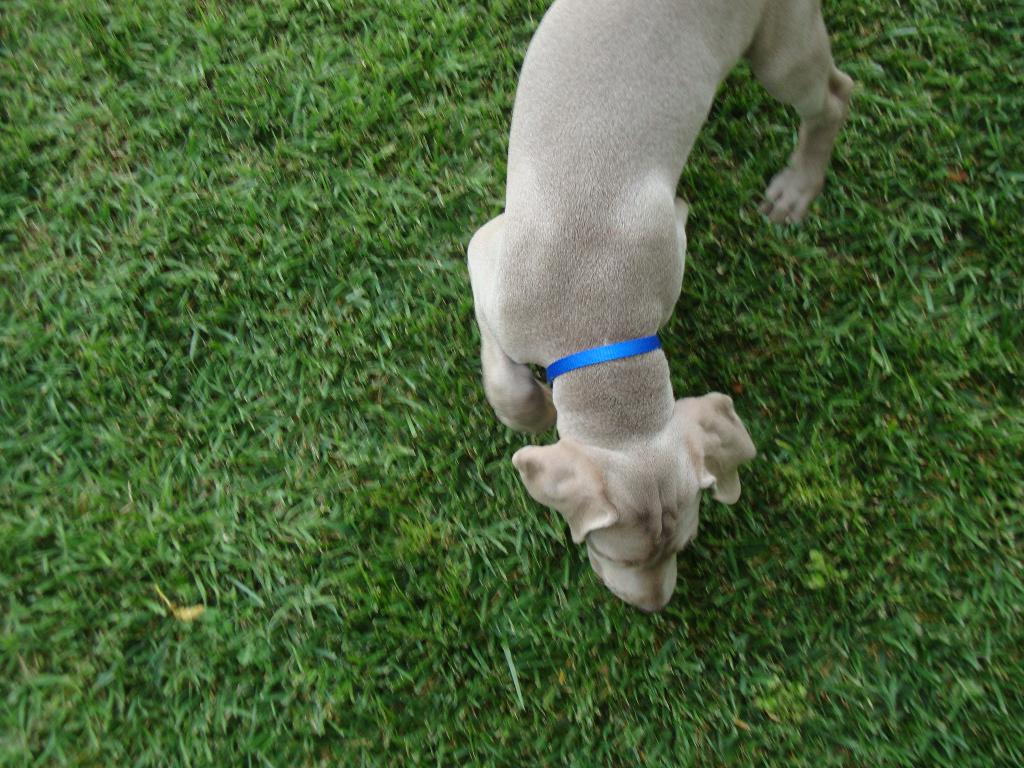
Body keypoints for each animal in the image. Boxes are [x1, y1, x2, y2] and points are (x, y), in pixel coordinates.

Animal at [468, 0, 853, 611]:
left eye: (683, 545)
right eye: (614, 554)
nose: (654, 607)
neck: (600, 329)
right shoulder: (485, 255)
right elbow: (506, 383)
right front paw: (536, 409)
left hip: (780, 45)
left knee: (835, 94)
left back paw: (800, 184)